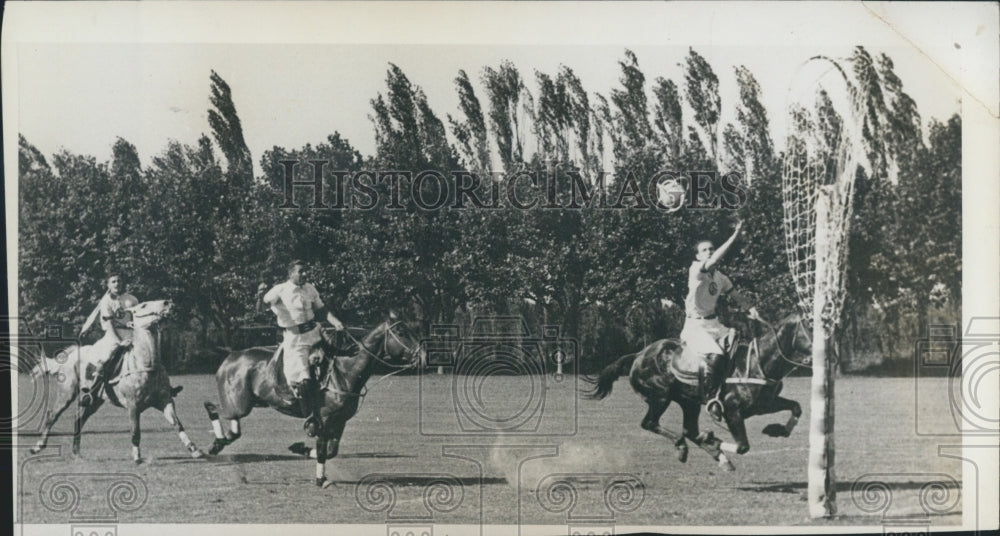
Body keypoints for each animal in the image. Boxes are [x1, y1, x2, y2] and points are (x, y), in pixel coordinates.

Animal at [28, 300, 203, 462]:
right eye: (144, 305)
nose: (167, 303)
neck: (146, 364)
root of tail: (69, 355)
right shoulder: (133, 405)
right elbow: (135, 430)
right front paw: (137, 456)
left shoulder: (165, 400)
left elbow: (177, 423)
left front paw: (194, 449)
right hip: (66, 392)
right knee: (52, 416)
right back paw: (38, 447)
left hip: (95, 400)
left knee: (79, 419)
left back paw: (76, 453)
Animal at [201, 312, 424, 488]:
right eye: (401, 332)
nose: (422, 356)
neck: (345, 371)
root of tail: (230, 357)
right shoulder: (323, 419)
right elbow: (323, 450)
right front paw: (320, 480)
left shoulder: (340, 421)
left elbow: (331, 451)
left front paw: (300, 448)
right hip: (238, 402)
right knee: (217, 410)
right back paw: (211, 445)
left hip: (251, 402)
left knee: (231, 426)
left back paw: (218, 442)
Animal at [584, 312, 812, 472]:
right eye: (810, 326)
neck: (760, 362)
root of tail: (639, 354)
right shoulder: (732, 410)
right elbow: (742, 447)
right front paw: (714, 440)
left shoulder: (764, 404)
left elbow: (796, 407)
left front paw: (777, 430)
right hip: (660, 397)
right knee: (650, 423)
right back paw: (687, 446)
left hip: (689, 402)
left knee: (689, 430)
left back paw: (717, 454)